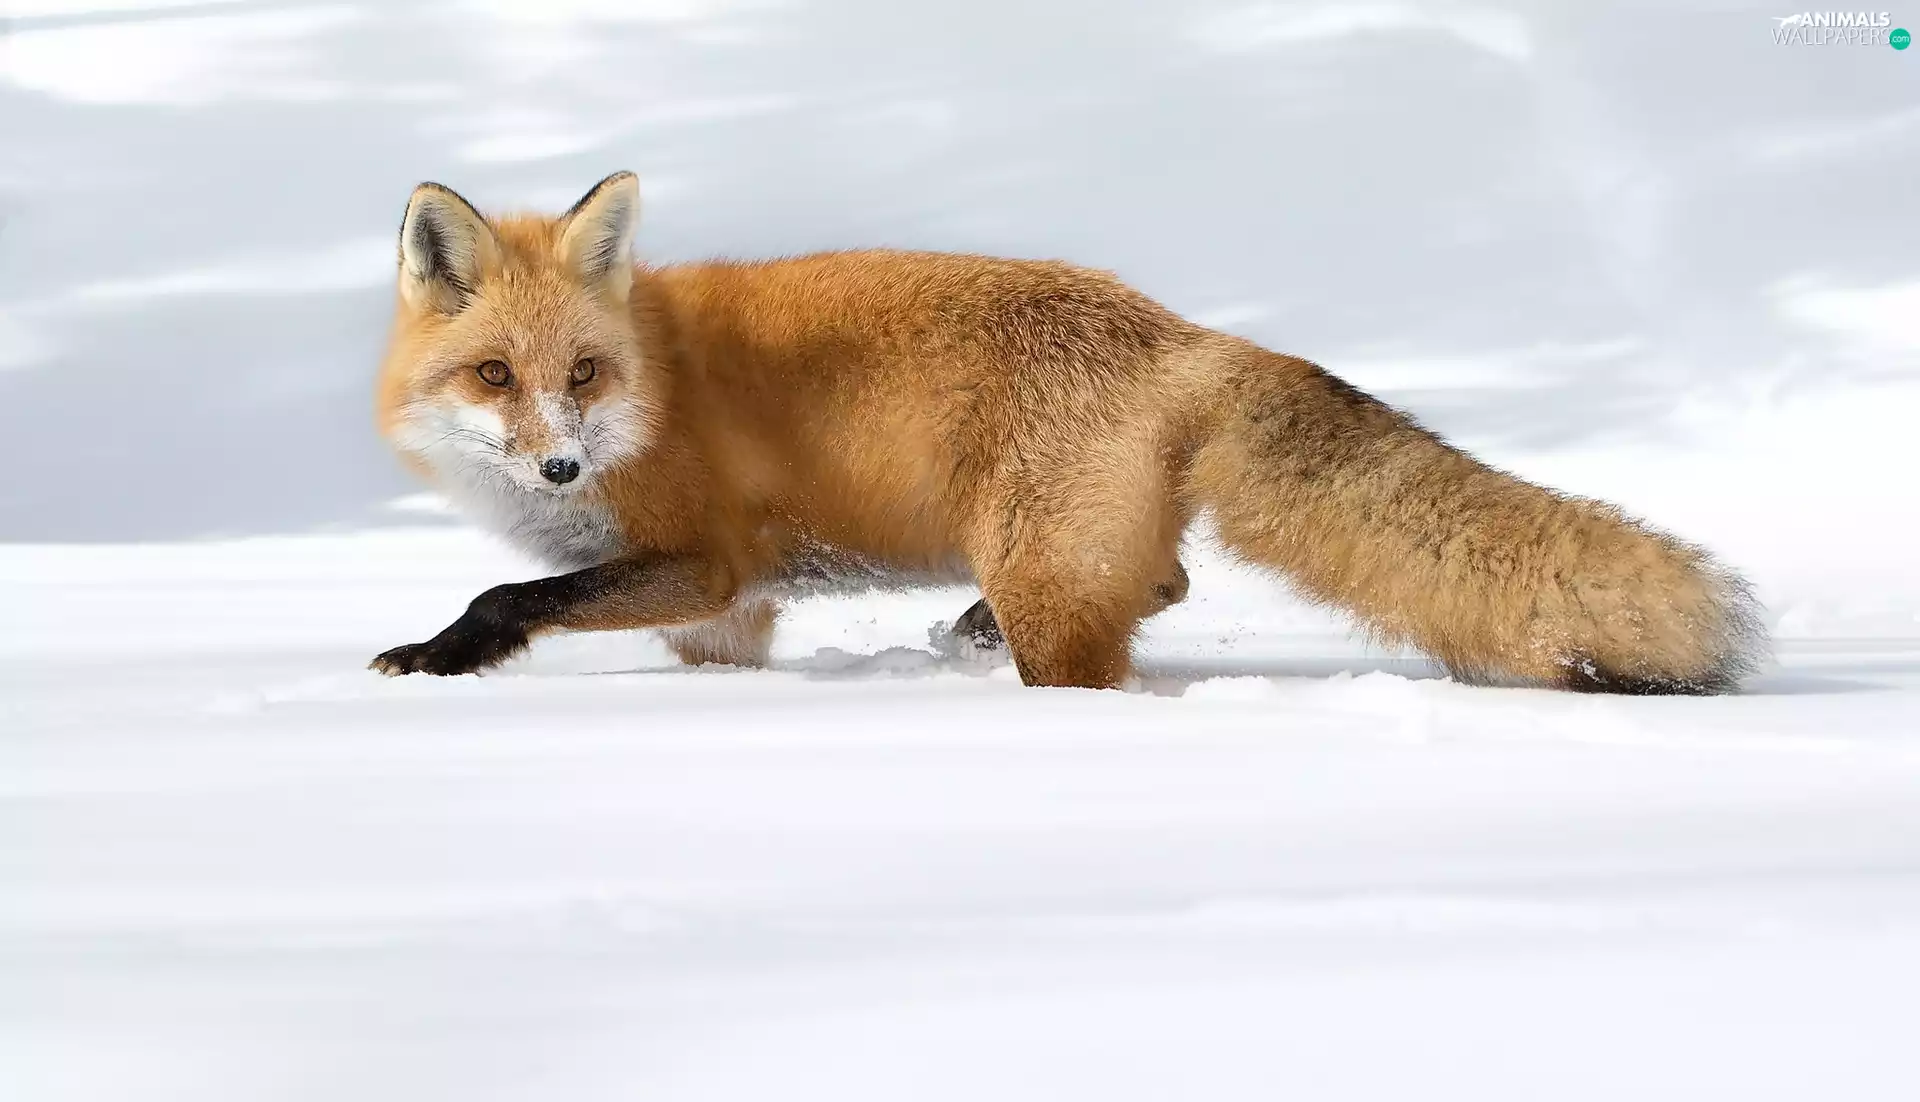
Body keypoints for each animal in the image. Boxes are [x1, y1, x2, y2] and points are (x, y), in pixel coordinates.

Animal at [371, 171, 1764, 693]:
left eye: (584, 374)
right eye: (495, 375)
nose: (561, 462)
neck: (653, 388)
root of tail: (1175, 328)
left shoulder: (706, 561)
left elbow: (510, 595)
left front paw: (440, 657)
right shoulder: (733, 613)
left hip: (1041, 575)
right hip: (1066, 551)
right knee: (1169, 579)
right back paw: (968, 634)